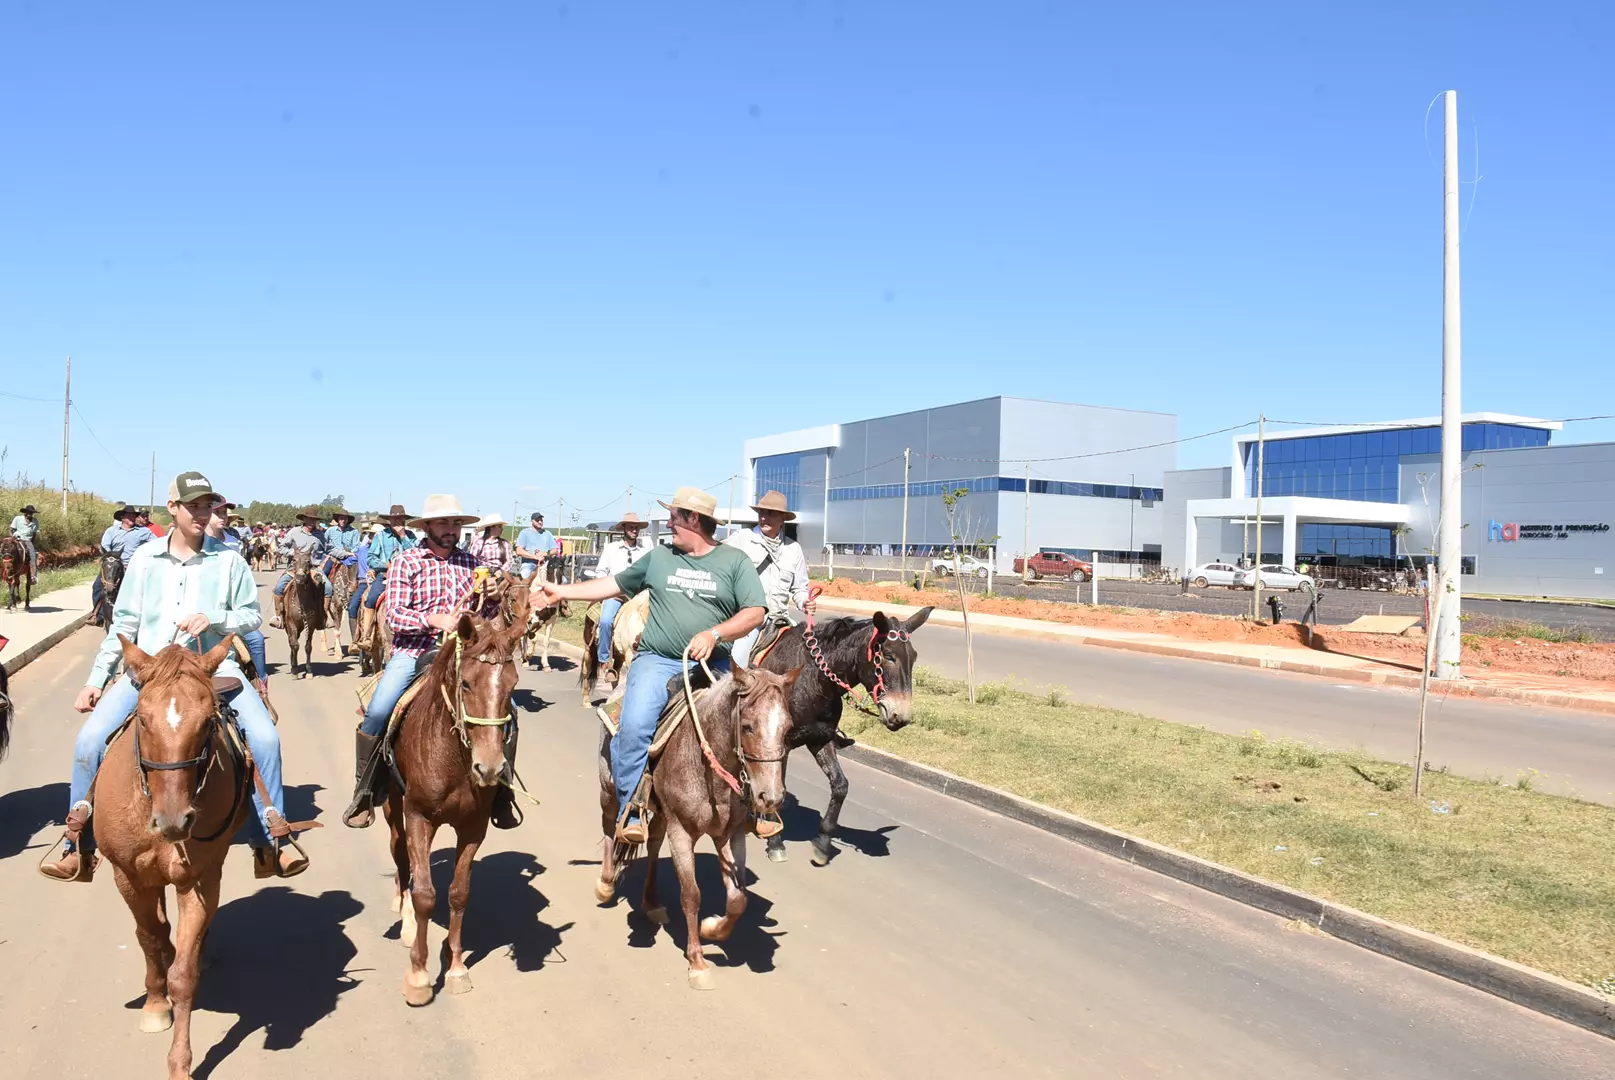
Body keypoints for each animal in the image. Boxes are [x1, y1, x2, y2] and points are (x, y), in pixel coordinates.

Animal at [381, 584, 526, 1007]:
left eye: (512, 686)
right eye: (466, 684)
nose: (489, 768)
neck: (454, 759)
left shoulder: (473, 827)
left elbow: (459, 894)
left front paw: (458, 966)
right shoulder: (418, 817)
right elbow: (425, 894)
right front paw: (418, 975)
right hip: (393, 809)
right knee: (401, 859)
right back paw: (405, 921)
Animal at [597, 658, 804, 987]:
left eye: (788, 729)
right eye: (747, 726)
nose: (769, 798)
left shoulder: (730, 834)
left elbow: (738, 898)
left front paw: (712, 929)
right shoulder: (682, 832)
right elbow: (691, 895)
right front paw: (697, 962)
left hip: (661, 814)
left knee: (653, 844)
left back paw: (652, 903)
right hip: (609, 790)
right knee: (608, 828)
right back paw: (605, 885)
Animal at [749, 606, 930, 865]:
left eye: (913, 658)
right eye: (887, 655)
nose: (901, 716)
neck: (812, 680)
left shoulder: (820, 739)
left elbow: (840, 786)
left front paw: (823, 842)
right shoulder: (779, 745)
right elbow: (777, 786)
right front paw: (775, 841)